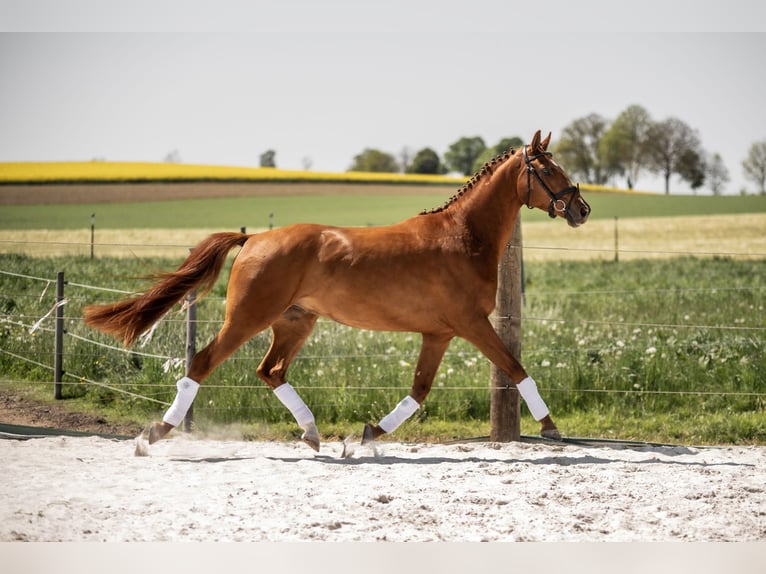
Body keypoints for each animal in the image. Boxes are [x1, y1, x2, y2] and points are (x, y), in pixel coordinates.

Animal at [83, 130, 591, 451]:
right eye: (548, 168)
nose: (582, 209)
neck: (463, 236)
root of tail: (254, 238)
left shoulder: (439, 333)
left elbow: (419, 391)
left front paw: (363, 435)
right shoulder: (470, 324)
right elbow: (516, 368)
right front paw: (551, 428)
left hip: (295, 322)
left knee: (270, 371)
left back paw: (312, 435)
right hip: (248, 318)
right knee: (204, 363)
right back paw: (155, 433)